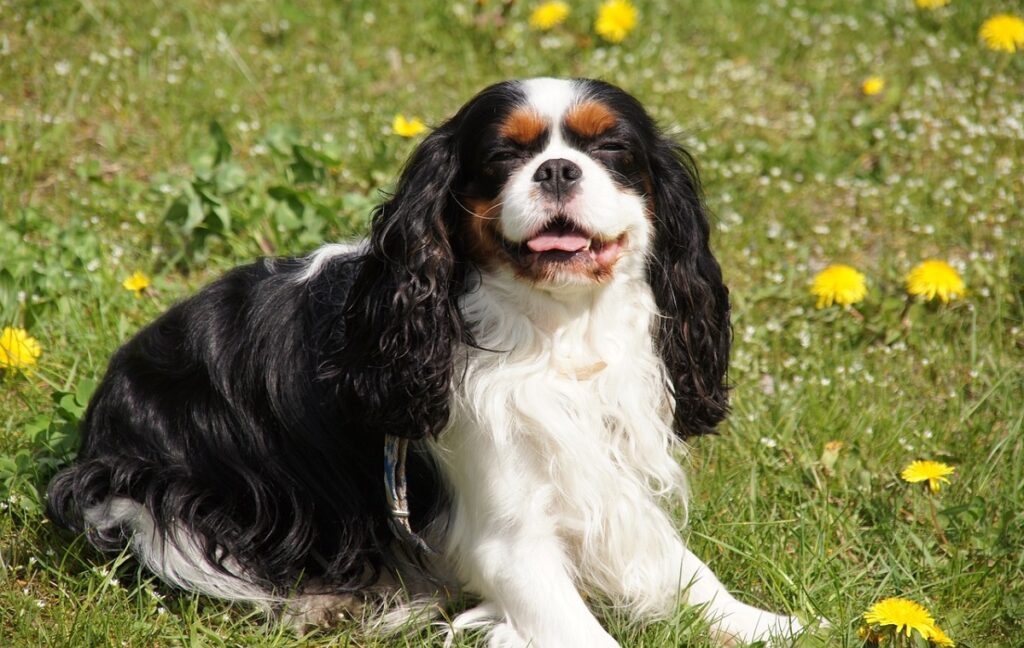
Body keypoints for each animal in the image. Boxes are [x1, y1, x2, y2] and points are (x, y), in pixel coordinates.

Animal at [49, 78, 806, 642]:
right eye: (503, 157)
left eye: (612, 148)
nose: (559, 168)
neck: (556, 330)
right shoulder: (509, 540)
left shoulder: (605, 478)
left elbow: (687, 571)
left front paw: (772, 624)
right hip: (161, 500)